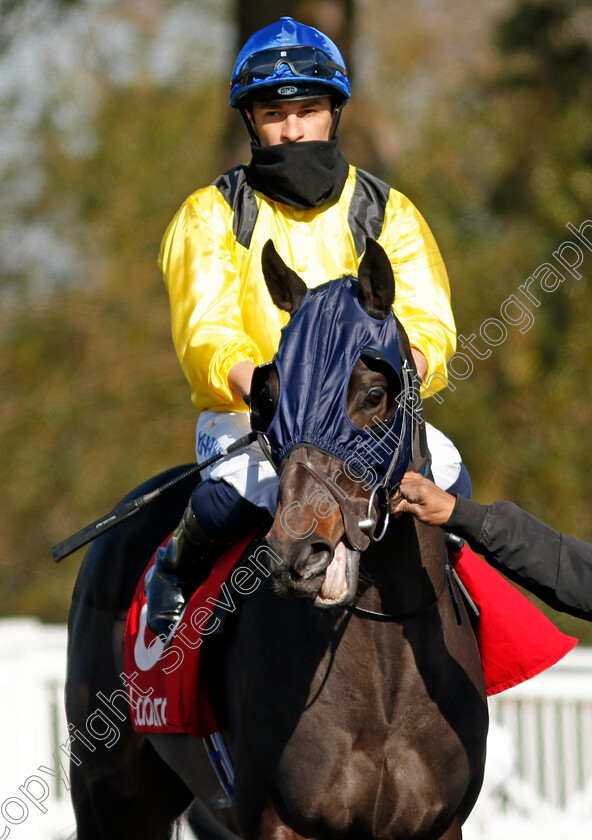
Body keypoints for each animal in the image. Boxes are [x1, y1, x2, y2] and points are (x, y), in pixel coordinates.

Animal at [66, 236, 486, 840]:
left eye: (375, 394)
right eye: (269, 392)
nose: (298, 553)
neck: (384, 663)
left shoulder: (439, 823)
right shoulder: (279, 817)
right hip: (111, 796)